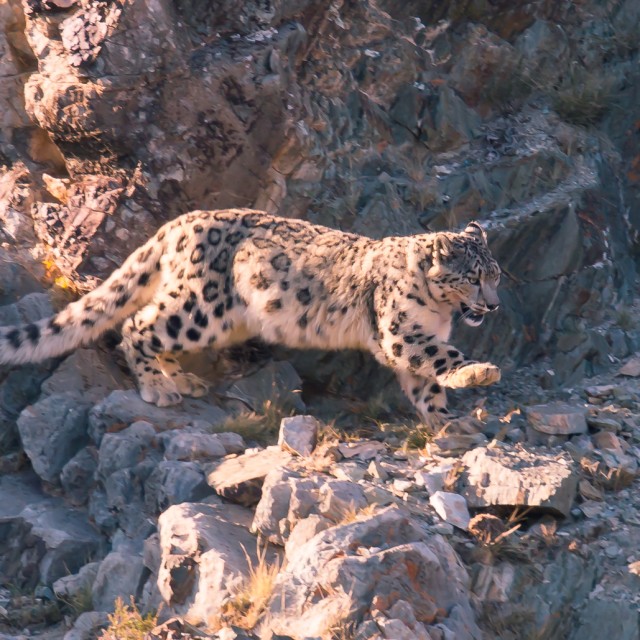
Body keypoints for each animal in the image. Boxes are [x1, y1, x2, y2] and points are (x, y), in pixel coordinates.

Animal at [0, 208, 502, 426]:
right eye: (473, 278)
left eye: (496, 275)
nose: (494, 305)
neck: (439, 311)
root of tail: (178, 223)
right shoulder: (401, 331)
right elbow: (441, 357)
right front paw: (479, 372)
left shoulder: (416, 338)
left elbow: (426, 382)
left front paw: (447, 424)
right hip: (201, 307)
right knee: (138, 324)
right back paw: (158, 387)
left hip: (210, 315)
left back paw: (182, 379)